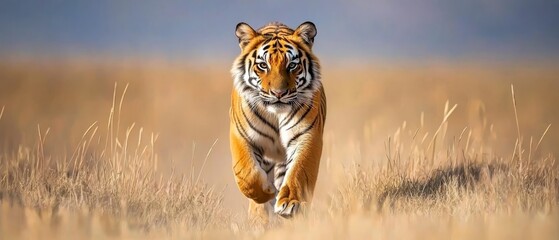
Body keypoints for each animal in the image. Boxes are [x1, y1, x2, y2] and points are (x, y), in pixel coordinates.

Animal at [230, 21, 326, 222]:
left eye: (292, 65)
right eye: (262, 65)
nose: (278, 93)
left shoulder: (306, 135)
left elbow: (299, 171)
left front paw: (290, 203)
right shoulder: (241, 135)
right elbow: (247, 173)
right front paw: (266, 192)